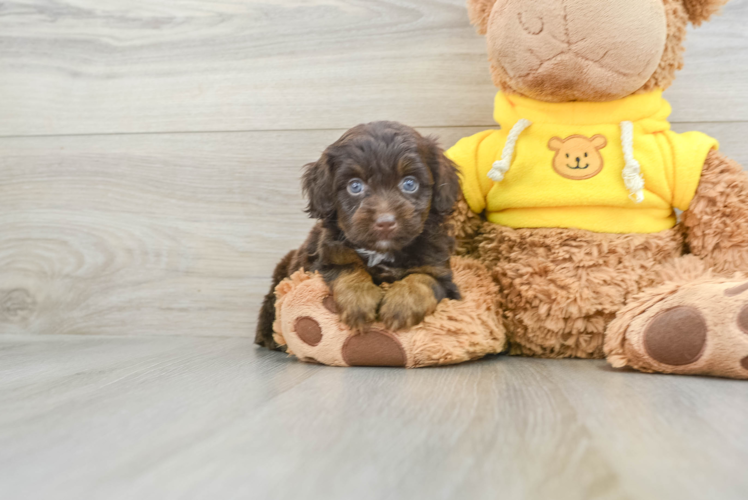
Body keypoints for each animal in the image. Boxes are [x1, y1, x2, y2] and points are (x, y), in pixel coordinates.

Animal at [258, 120, 462, 352]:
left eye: (410, 183)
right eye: (355, 186)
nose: (385, 222)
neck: (382, 252)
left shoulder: (441, 272)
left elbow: (423, 279)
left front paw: (400, 307)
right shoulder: (327, 258)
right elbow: (348, 269)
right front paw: (359, 303)